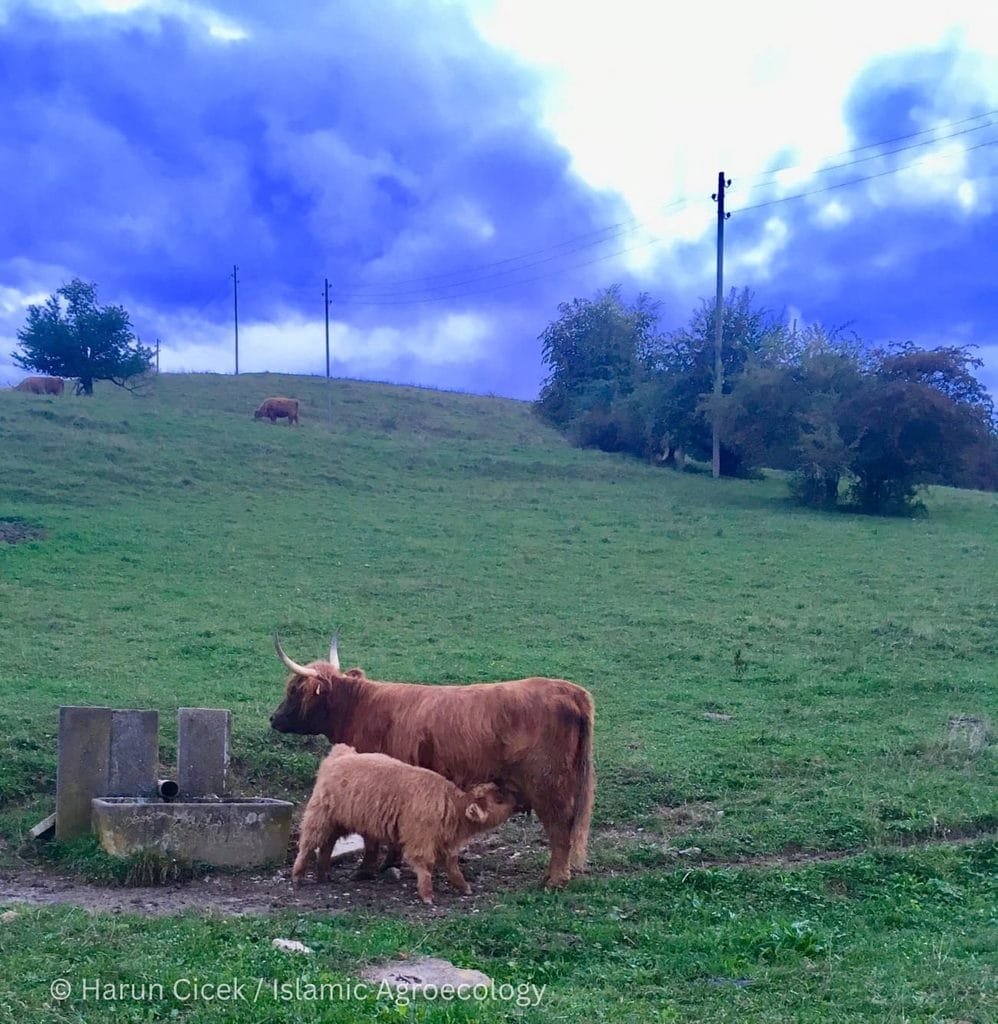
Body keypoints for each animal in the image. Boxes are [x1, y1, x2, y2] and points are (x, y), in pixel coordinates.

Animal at [292, 743, 518, 903]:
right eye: (498, 798)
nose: (517, 799)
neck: (452, 806)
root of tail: (341, 755)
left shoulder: (446, 844)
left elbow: (453, 866)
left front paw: (464, 887)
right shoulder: (420, 840)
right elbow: (425, 865)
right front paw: (427, 895)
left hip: (338, 821)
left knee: (327, 845)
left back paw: (323, 875)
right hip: (319, 816)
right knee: (308, 844)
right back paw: (298, 875)